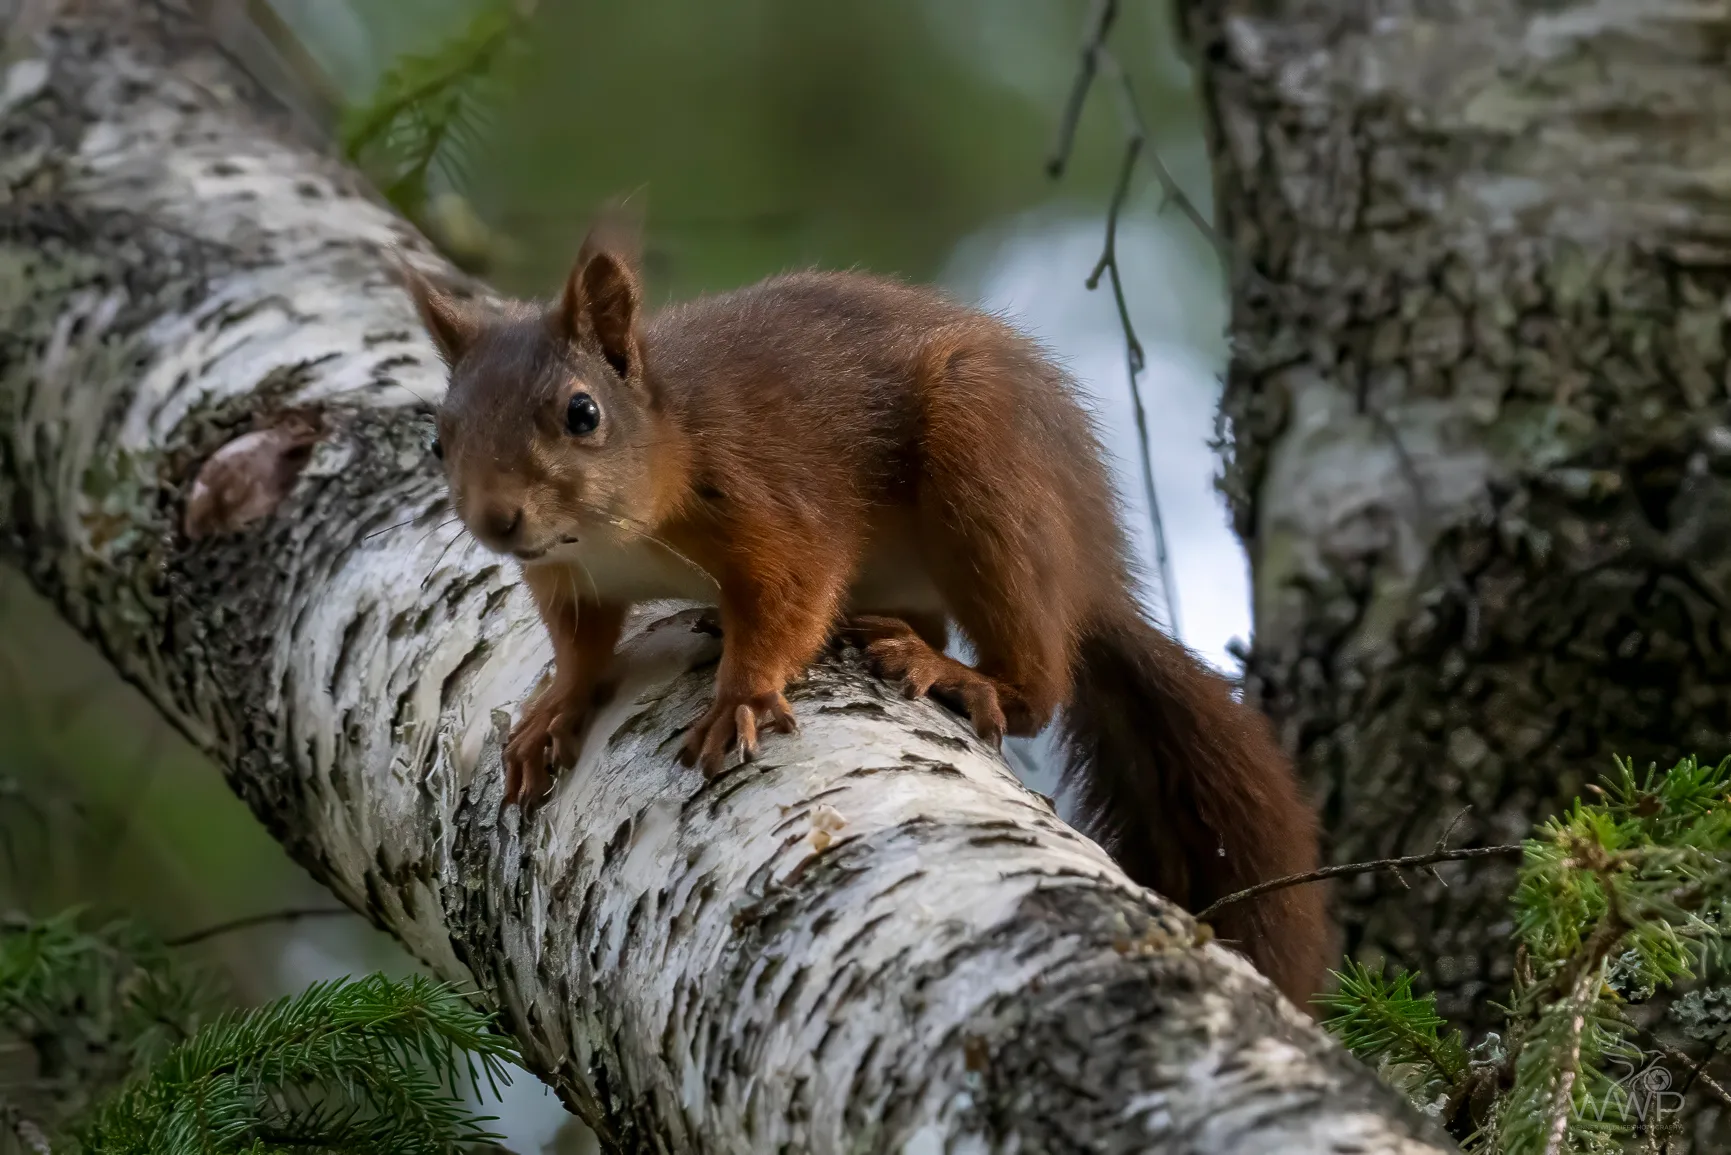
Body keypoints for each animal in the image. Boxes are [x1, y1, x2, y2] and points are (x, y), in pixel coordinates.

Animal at [400, 220, 1333, 1006]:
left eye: (581, 412)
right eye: (438, 437)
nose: (495, 520)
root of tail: (1089, 568)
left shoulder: (770, 504)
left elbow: (790, 593)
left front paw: (741, 693)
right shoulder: (572, 579)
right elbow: (583, 648)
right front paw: (554, 709)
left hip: (987, 468)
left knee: (1037, 681)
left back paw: (955, 672)